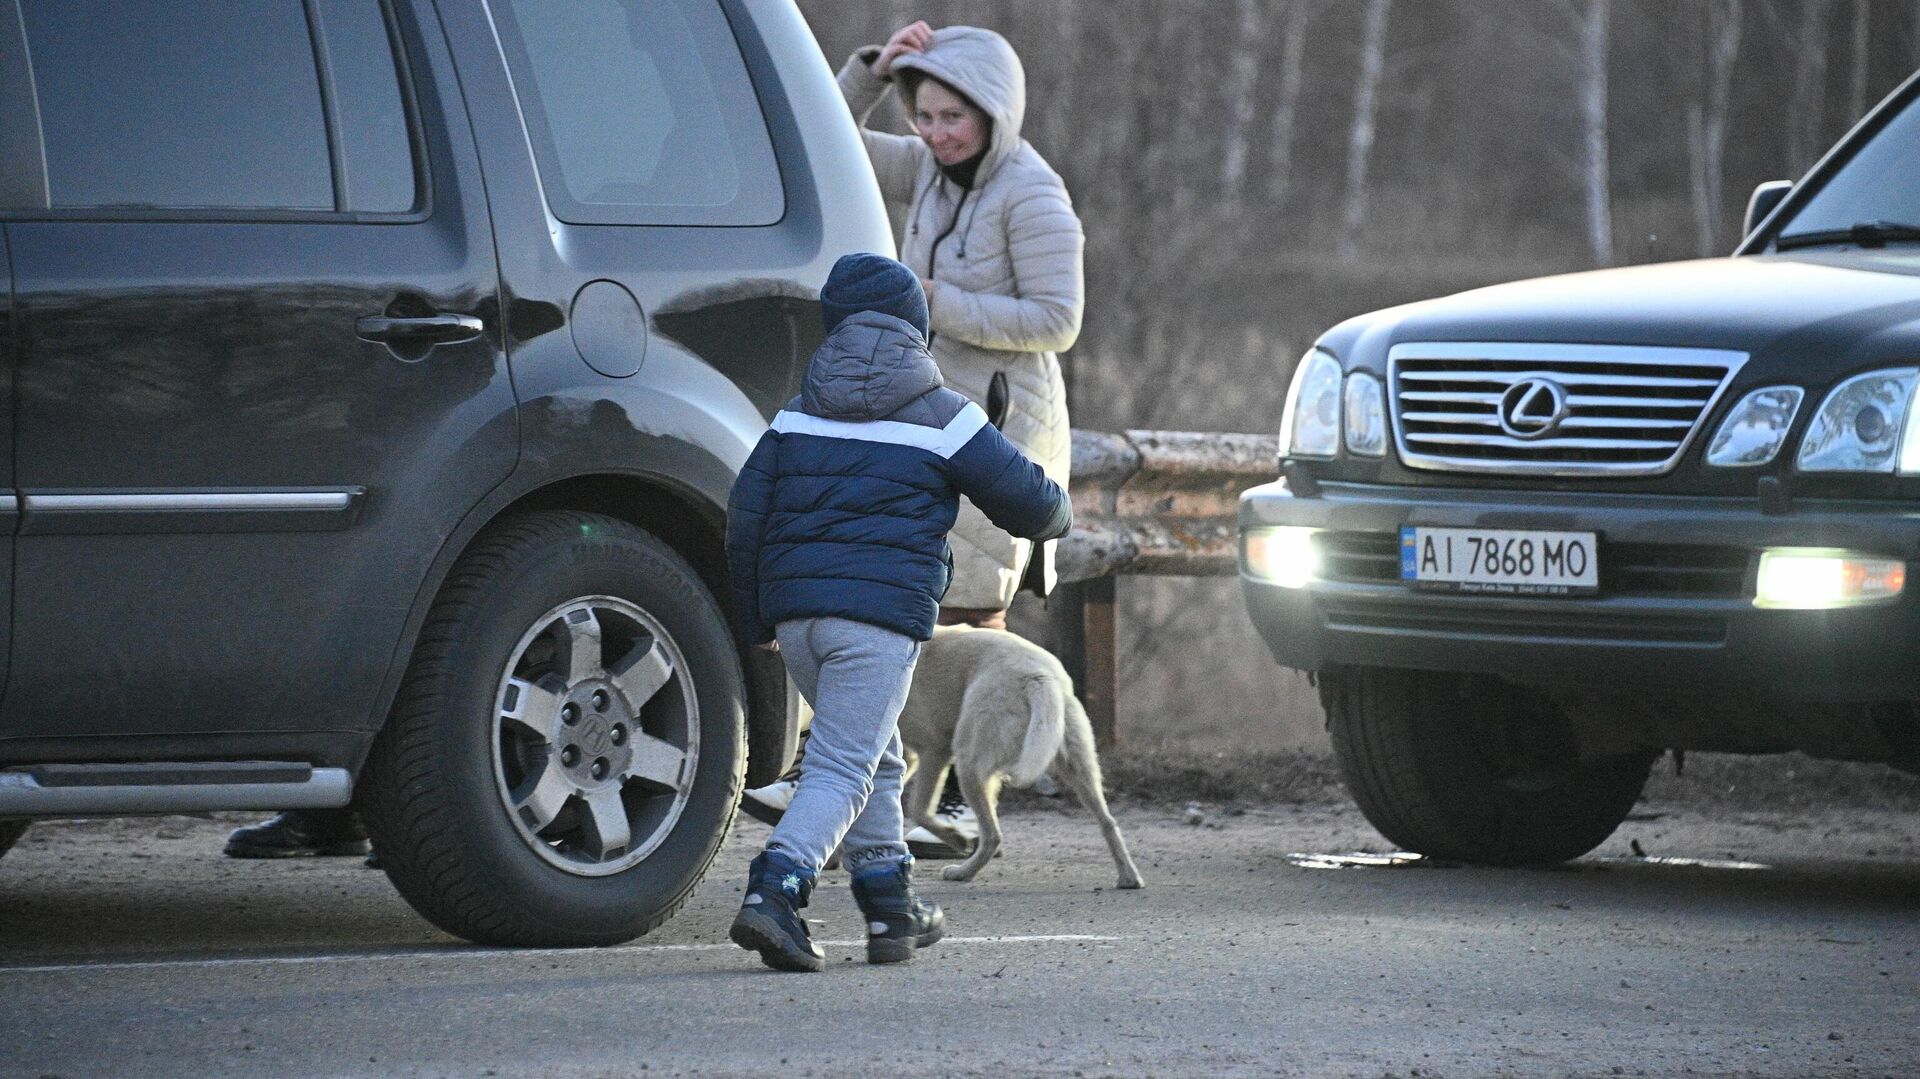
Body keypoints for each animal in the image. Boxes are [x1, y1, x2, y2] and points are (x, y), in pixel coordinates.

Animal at [894, 622, 1144, 883]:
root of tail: (1038, 676)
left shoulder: (934, 750)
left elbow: (917, 809)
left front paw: (956, 838)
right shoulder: (908, 756)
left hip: (968, 763)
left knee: (993, 836)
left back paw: (962, 871)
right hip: (1079, 766)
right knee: (1108, 821)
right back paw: (1129, 877)